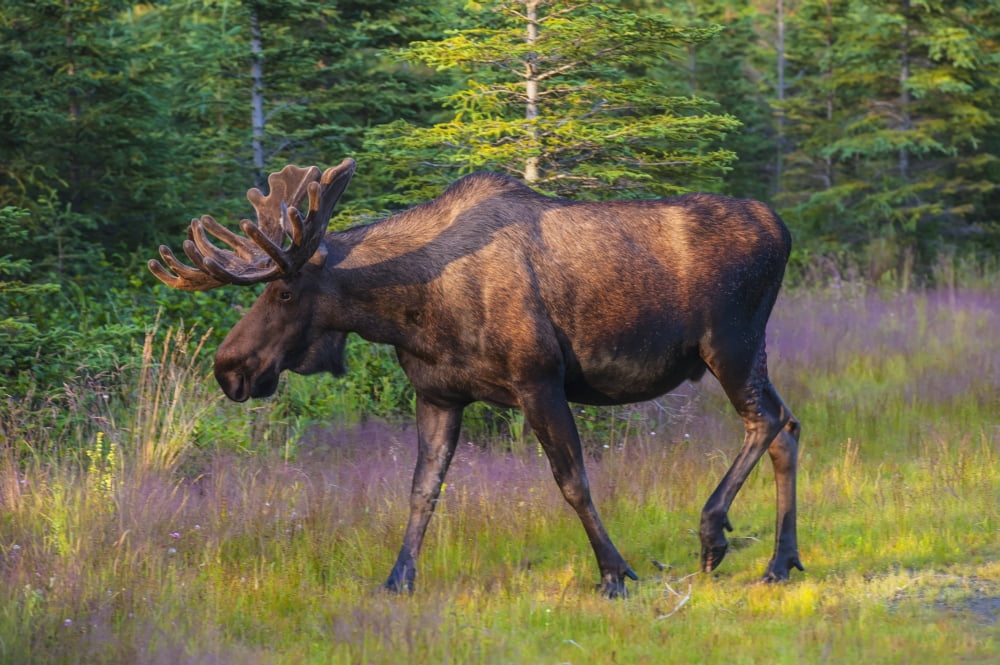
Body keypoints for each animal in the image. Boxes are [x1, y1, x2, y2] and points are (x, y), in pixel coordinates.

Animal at [149, 158, 803, 597]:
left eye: (283, 292)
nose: (229, 369)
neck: (410, 310)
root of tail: (784, 228)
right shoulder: (439, 394)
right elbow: (422, 490)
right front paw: (398, 578)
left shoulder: (539, 381)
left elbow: (574, 482)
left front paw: (614, 572)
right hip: (749, 352)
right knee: (789, 426)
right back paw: (780, 563)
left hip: (731, 343)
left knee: (766, 420)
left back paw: (713, 534)